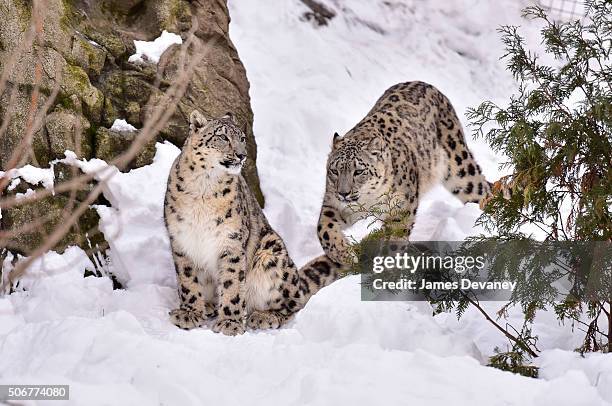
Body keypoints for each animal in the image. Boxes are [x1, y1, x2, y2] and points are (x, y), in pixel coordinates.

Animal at [163, 109, 340, 334]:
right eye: (222, 137)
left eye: (242, 138)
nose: (242, 155)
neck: (204, 186)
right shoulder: (181, 240)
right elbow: (187, 280)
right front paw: (189, 313)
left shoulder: (231, 241)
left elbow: (231, 282)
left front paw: (230, 322)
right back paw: (209, 306)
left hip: (271, 256)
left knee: (292, 304)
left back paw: (264, 316)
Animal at [320, 81, 492, 264]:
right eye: (334, 170)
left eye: (358, 171)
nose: (343, 193)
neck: (369, 200)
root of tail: (427, 85)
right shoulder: (332, 203)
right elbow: (324, 230)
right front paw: (345, 254)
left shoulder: (402, 208)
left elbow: (395, 240)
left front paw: (388, 263)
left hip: (461, 171)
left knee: (483, 192)